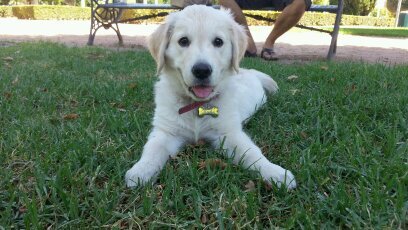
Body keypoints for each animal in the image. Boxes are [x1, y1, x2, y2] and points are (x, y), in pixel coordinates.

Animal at [125, 4, 296, 189]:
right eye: (183, 41)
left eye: (218, 42)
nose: (202, 70)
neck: (196, 105)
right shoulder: (166, 131)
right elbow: (153, 149)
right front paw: (140, 171)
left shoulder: (228, 133)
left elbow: (251, 153)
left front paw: (275, 172)